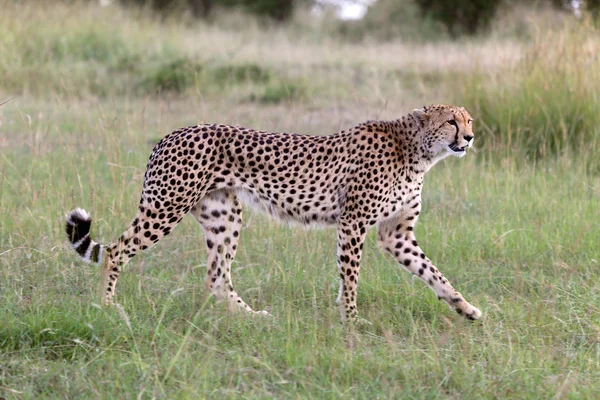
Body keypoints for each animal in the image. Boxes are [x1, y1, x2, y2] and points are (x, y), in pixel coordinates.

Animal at [64, 104, 482, 322]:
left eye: (469, 119)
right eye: (451, 121)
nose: (470, 137)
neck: (418, 150)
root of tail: (171, 134)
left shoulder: (396, 234)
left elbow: (433, 272)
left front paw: (465, 307)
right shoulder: (353, 222)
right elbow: (350, 278)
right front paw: (350, 319)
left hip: (224, 217)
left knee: (216, 278)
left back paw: (249, 318)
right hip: (167, 207)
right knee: (117, 250)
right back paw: (108, 306)